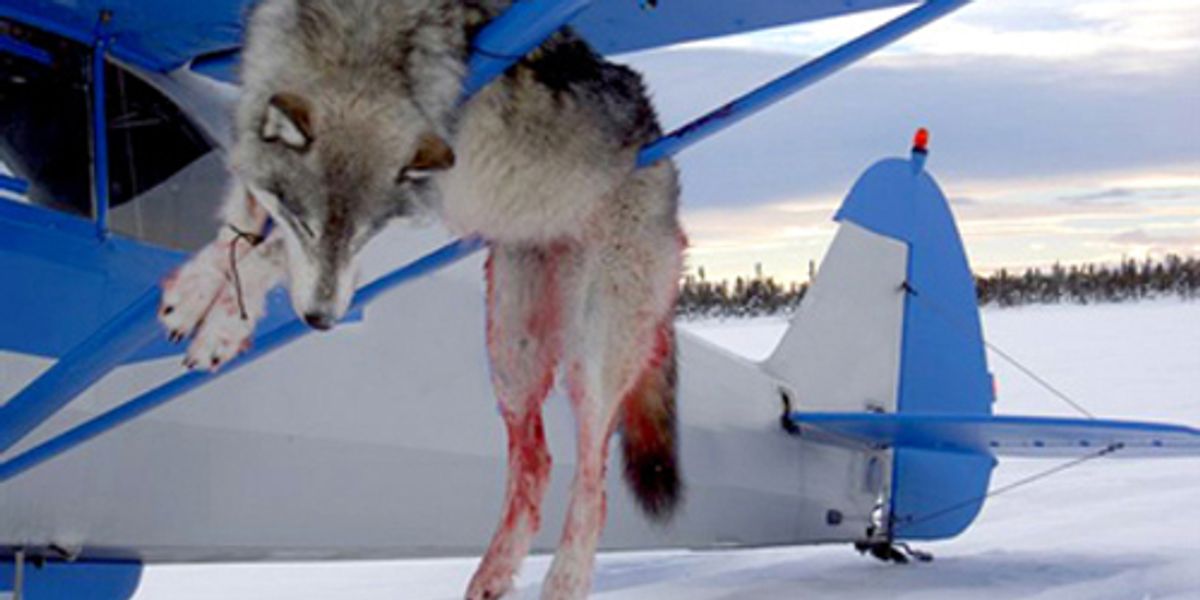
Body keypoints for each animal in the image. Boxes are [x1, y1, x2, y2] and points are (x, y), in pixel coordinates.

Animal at [158, 0, 684, 598]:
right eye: (306, 224)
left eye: (364, 235)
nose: (320, 321)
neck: (361, 36)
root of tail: (663, 153)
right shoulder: (255, 102)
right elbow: (240, 220)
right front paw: (196, 295)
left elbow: (263, 254)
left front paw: (222, 327)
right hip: (511, 351)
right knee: (537, 461)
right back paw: (493, 573)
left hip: (589, 352)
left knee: (593, 477)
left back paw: (566, 579)